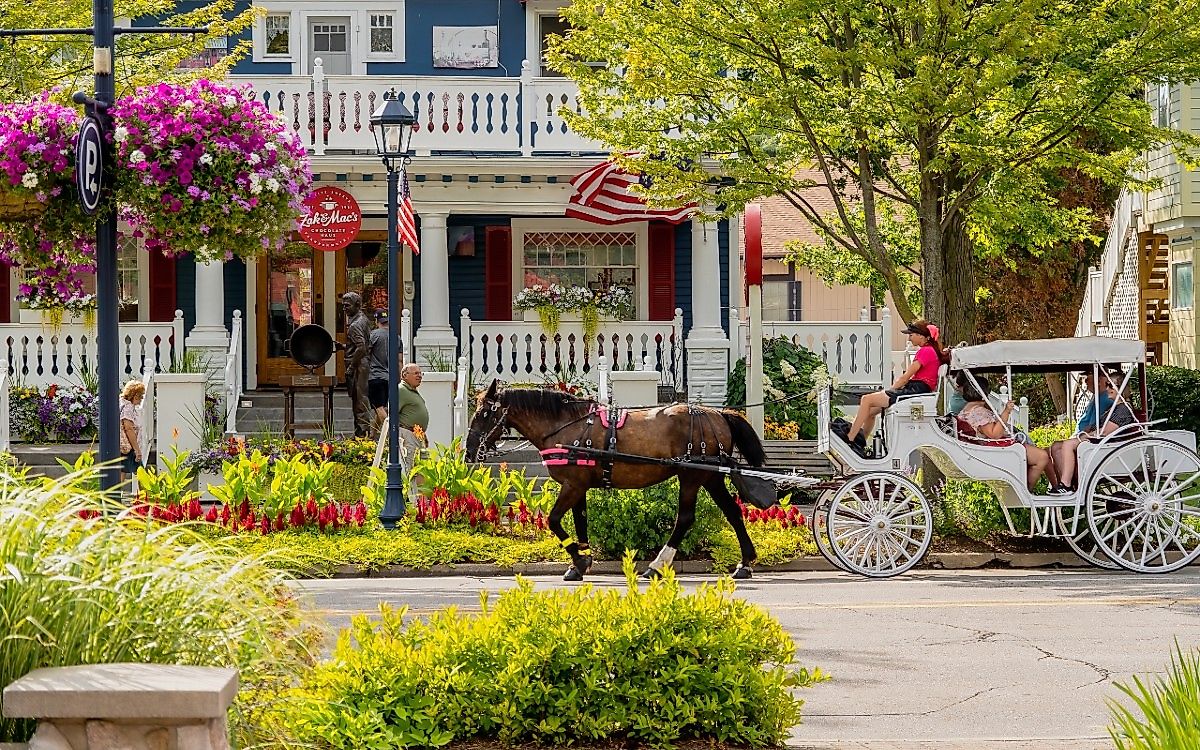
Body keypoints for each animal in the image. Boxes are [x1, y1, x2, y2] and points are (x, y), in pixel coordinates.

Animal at [463, 379, 763, 578]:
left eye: (484, 413)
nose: (468, 451)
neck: (565, 426)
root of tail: (717, 414)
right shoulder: (579, 485)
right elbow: (580, 520)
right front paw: (580, 562)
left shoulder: (573, 485)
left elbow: (554, 520)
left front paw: (579, 561)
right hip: (710, 477)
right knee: (732, 511)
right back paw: (745, 563)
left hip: (691, 475)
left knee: (686, 518)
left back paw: (656, 566)